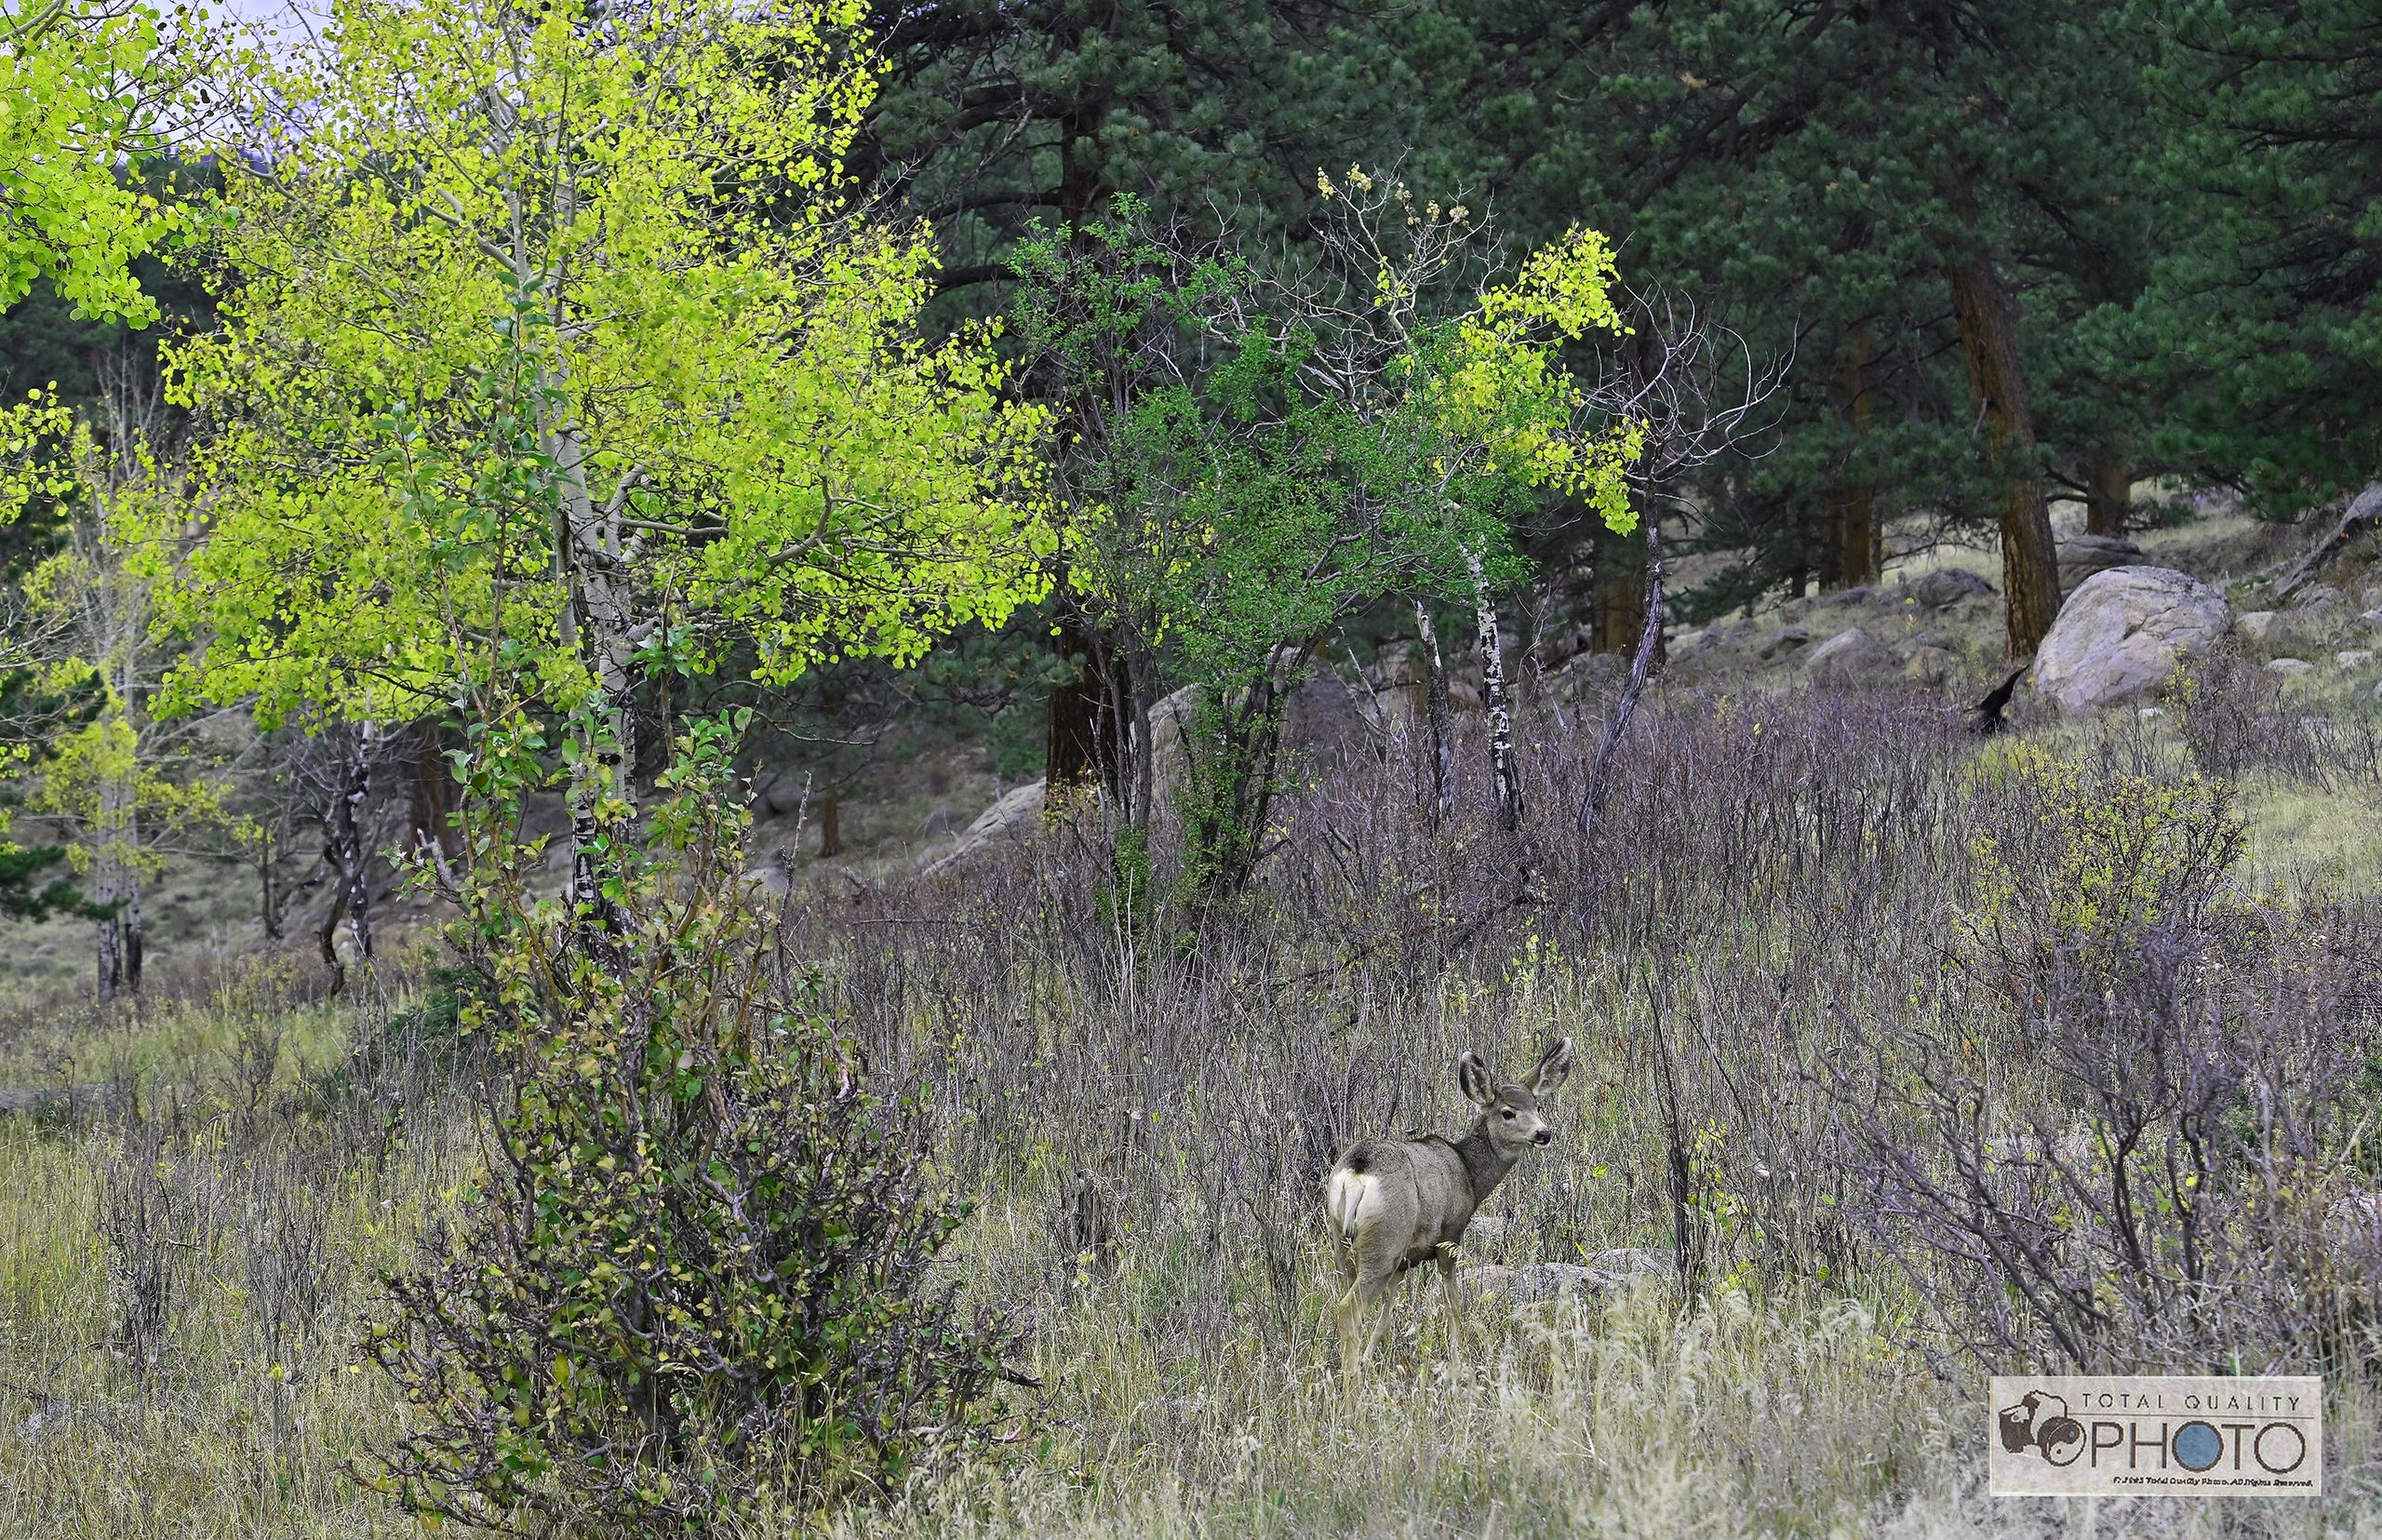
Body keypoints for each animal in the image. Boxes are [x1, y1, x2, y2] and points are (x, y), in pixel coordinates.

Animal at [1321, 1037, 1574, 1373]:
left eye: (1537, 1106)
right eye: (1507, 1112)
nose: (1543, 1133)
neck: (1468, 1173)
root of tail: (1356, 1173)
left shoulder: (1406, 1260)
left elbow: (1385, 1318)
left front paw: (1370, 1358)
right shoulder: (1450, 1235)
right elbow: (1453, 1303)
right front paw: (1457, 1360)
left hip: (1343, 1243)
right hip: (1384, 1241)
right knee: (1348, 1309)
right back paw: (1352, 1383)